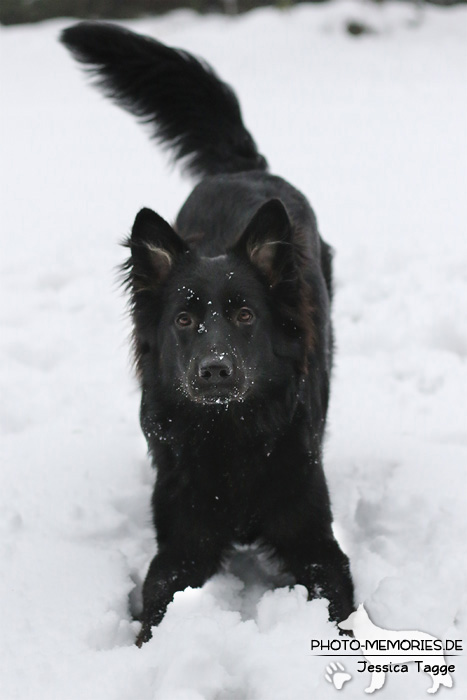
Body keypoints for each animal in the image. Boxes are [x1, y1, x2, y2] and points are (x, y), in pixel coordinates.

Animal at [62, 21, 354, 644]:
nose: (214, 370)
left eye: (245, 317)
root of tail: (241, 168)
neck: (230, 435)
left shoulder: (314, 537)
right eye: (183, 320)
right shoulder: (181, 541)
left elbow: (336, 604)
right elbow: (158, 602)